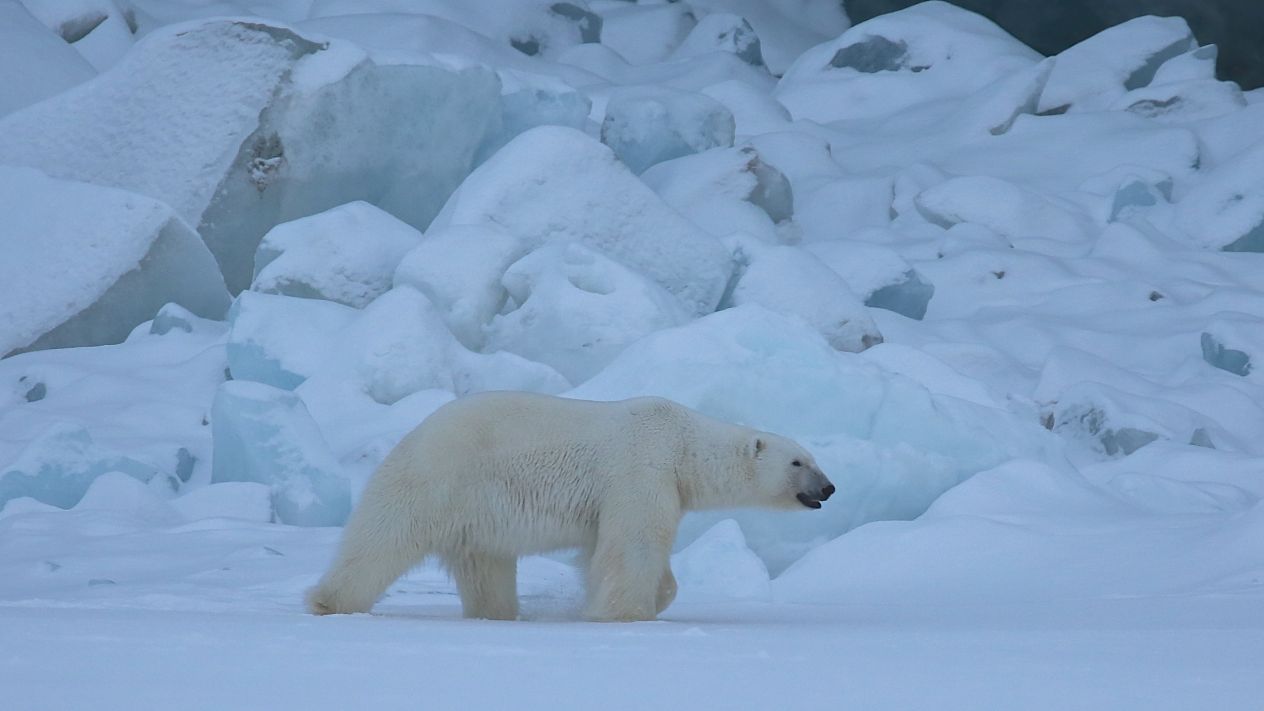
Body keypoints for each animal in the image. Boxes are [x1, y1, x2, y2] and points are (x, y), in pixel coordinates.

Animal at [307, 389, 834, 617]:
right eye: (798, 462)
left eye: (813, 457)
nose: (829, 489)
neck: (682, 443)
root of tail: (411, 435)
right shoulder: (641, 470)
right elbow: (633, 546)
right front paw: (624, 612)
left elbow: (617, 547)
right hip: (437, 481)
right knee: (380, 540)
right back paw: (329, 601)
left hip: (474, 515)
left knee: (486, 567)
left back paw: (498, 614)